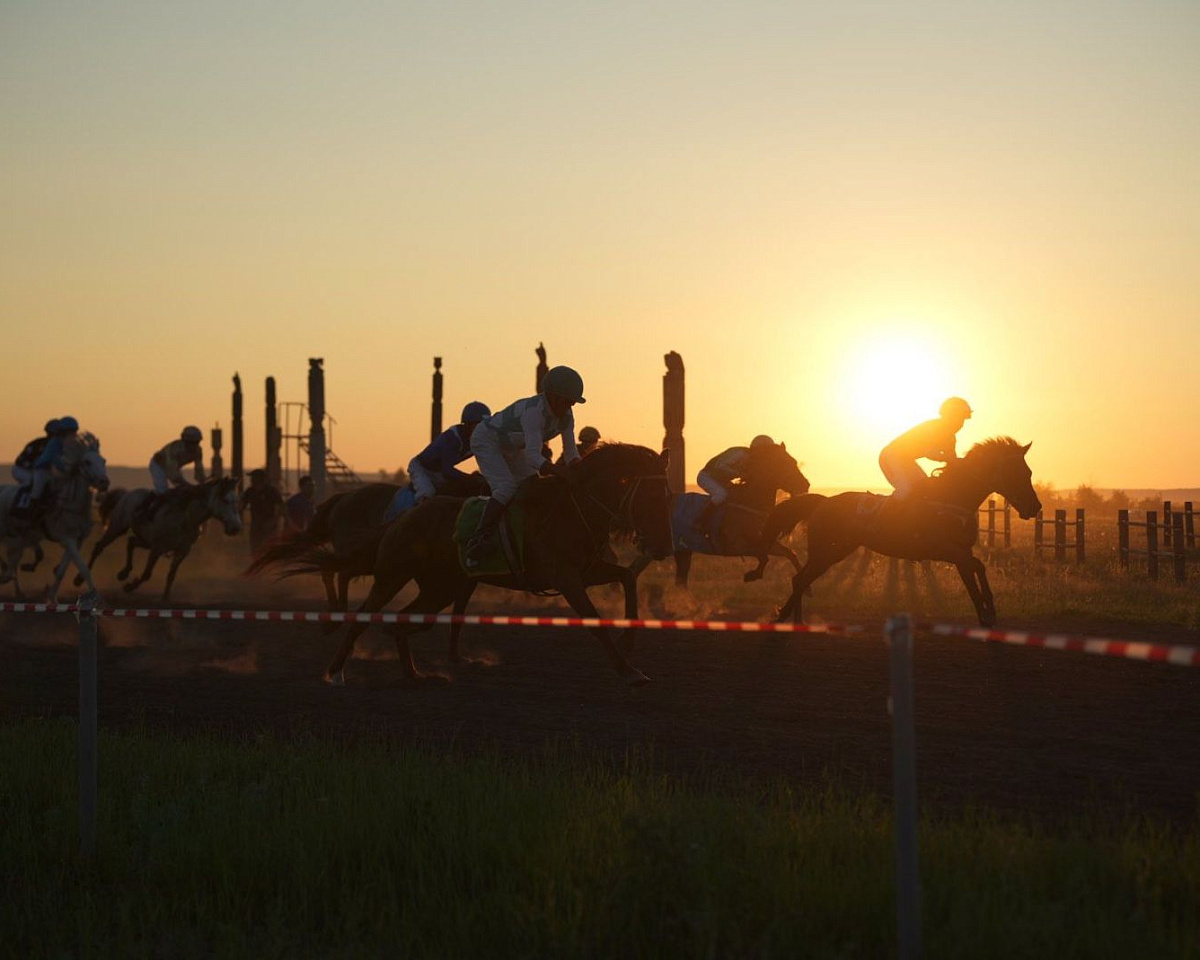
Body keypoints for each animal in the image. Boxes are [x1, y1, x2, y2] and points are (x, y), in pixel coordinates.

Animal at [0, 432, 110, 600]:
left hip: (22, 536)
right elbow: (83, 567)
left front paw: (51, 596)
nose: (104, 483)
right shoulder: (68, 538)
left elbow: (62, 570)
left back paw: (17, 585)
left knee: (17, 560)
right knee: (13, 560)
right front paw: (94, 595)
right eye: (87, 462)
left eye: (103, 460)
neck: (72, 504)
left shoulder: (78, 540)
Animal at [283, 446, 676, 686]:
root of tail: (404, 517)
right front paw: (629, 671)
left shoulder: (586, 570)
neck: (574, 507)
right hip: (393, 575)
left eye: (669, 495)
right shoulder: (566, 578)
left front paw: (628, 640)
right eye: (651, 495)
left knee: (402, 621)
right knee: (363, 611)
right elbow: (595, 622)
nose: (663, 546)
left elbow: (627, 578)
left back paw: (415, 674)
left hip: (438, 586)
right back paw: (335, 670)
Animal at [633, 441, 811, 588]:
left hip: (681, 550)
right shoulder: (737, 545)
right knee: (632, 570)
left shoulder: (764, 542)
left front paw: (807, 588)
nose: (806, 484)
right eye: (784, 463)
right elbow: (764, 557)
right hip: (656, 547)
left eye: (794, 461)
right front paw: (752, 575)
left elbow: (790, 553)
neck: (750, 501)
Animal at [768, 436, 1041, 628]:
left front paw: (987, 614)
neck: (953, 497)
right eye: (1019, 472)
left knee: (800, 579)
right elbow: (977, 568)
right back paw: (783, 619)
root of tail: (822, 502)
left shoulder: (960, 552)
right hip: (827, 552)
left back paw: (795, 621)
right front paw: (989, 611)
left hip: (830, 552)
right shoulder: (945, 550)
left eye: (1029, 472)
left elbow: (975, 576)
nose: (1035, 507)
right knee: (801, 579)